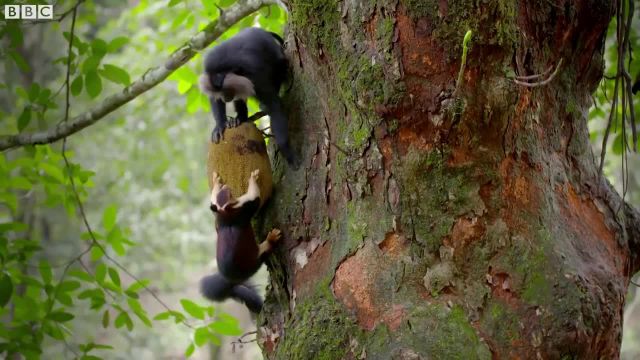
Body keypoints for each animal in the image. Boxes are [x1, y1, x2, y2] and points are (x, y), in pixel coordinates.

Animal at [199, 27, 296, 166]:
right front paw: (220, 125)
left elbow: (274, 106)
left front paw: (286, 150)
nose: (225, 98)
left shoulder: (256, 76)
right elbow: (214, 97)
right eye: (220, 92)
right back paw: (240, 118)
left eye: (227, 90)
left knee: (279, 68)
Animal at [200, 169, 280, 312]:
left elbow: (212, 198)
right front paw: (253, 177)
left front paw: (216, 181)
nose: (226, 186)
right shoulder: (245, 206)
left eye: (225, 193)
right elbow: (255, 197)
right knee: (265, 250)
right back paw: (271, 238)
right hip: (255, 258)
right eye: (229, 194)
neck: (226, 213)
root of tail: (233, 279)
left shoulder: (217, 210)